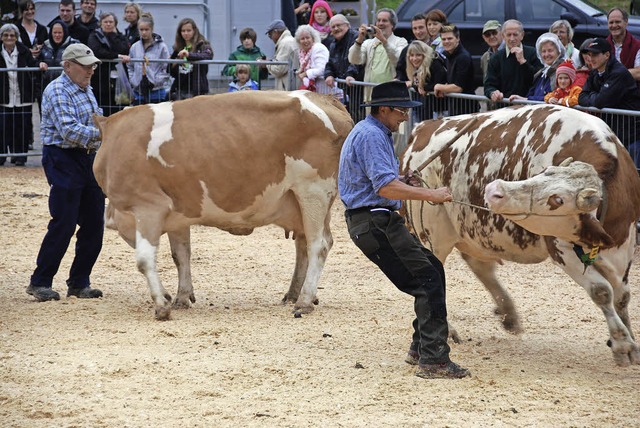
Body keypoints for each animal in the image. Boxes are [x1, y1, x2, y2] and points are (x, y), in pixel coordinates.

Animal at [94, 90, 352, 320]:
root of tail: (325, 98)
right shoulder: (178, 213)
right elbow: (181, 255)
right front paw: (180, 297)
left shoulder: (147, 207)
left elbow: (145, 259)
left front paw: (161, 306)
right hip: (300, 202)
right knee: (304, 244)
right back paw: (295, 294)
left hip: (313, 192)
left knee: (318, 245)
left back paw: (304, 301)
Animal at [402, 103, 636, 364]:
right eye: (543, 172)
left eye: (557, 199)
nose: (495, 189)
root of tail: (422, 128)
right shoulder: (561, 248)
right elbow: (602, 291)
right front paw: (622, 344)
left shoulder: (624, 246)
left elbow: (622, 295)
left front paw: (629, 339)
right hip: (432, 235)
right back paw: (449, 329)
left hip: (472, 231)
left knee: (480, 266)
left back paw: (508, 314)